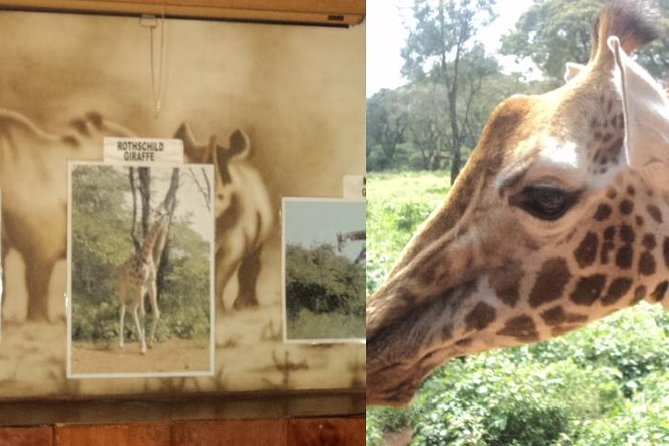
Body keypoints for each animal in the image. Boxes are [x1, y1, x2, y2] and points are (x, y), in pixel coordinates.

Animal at [118, 207, 169, 355]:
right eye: (156, 211)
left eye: (163, 213)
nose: (153, 219)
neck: (147, 255)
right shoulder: (141, 283)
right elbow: (143, 314)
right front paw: (143, 348)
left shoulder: (151, 284)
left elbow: (156, 312)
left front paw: (149, 343)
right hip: (124, 288)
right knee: (122, 309)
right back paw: (121, 343)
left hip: (137, 292)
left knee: (132, 308)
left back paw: (140, 341)